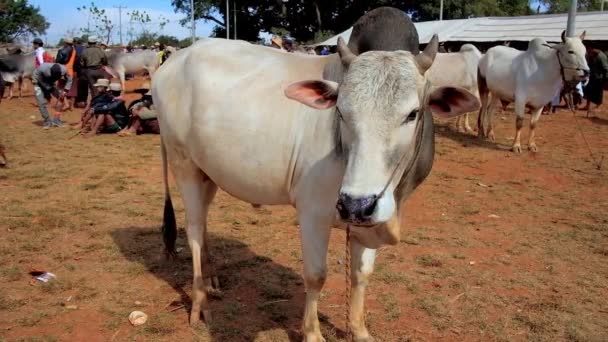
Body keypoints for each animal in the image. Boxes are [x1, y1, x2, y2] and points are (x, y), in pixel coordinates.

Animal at [153, 34, 480, 340]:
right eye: (342, 112)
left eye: (413, 114)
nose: (355, 204)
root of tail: (172, 62)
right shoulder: (313, 214)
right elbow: (316, 276)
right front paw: (312, 332)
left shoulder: (367, 220)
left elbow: (361, 274)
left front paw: (359, 329)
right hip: (184, 165)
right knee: (194, 231)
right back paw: (200, 303)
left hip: (207, 173)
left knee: (204, 223)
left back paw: (211, 280)